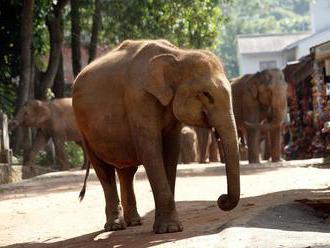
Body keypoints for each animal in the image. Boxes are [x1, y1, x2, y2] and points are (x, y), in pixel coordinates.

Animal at [71, 39, 240, 234]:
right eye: (205, 94)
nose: (221, 199)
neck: (177, 54)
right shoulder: (139, 99)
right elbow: (151, 151)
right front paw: (170, 229)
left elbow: (171, 152)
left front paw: (168, 228)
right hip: (83, 128)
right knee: (104, 170)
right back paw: (115, 226)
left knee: (127, 172)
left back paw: (134, 222)